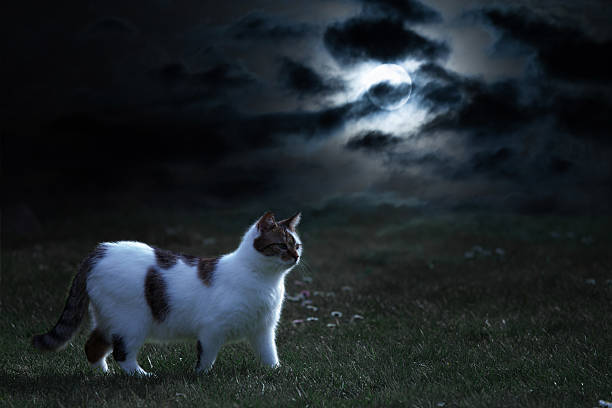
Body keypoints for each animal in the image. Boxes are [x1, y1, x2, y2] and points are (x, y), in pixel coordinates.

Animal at [32, 212, 302, 374]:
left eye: (297, 244)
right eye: (281, 245)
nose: (296, 256)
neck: (266, 280)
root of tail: (100, 250)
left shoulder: (263, 329)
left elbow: (270, 354)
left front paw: (277, 371)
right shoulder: (212, 330)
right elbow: (206, 358)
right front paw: (201, 376)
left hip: (110, 320)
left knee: (93, 346)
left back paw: (103, 376)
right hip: (131, 323)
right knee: (122, 354)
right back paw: (142, 376)